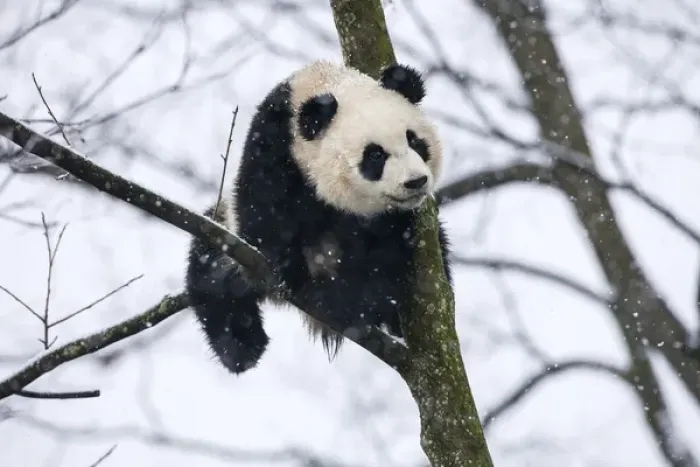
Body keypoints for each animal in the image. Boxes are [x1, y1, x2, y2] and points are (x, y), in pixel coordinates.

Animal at [186, 60, 452, 374]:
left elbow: (386, 259)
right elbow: (263, 208)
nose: (416, 182)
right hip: (227, 234)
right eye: (375, 155)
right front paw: (288, 270)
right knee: (213, 274)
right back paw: (241, 347)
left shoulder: (399, 220)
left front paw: (339, 299)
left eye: (415, 141)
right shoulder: (274, 141)